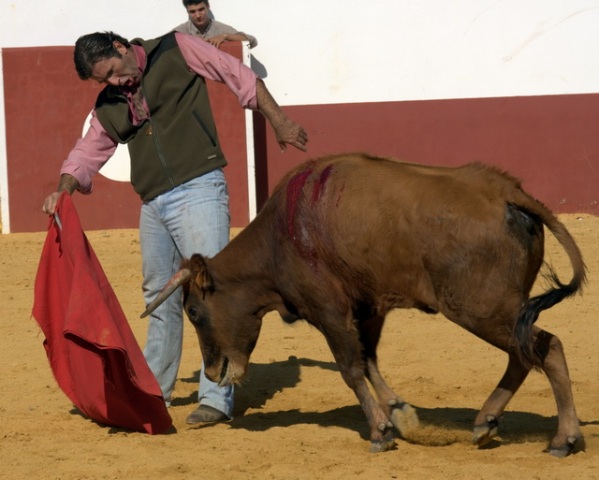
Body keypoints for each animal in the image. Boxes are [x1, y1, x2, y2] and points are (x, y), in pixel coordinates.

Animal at [142, 153, 584, 454]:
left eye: (194, 312)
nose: (213, 372)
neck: (280, 238)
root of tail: (505, 190)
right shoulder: (369, 308)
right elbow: (369, 359)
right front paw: (399, 413)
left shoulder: (328, 309)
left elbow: (351, 368)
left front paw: (380, 432)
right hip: (499, 310)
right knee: (523, 354)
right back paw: (486, 422)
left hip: (481, 309)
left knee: (547, 347)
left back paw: (564, 439)